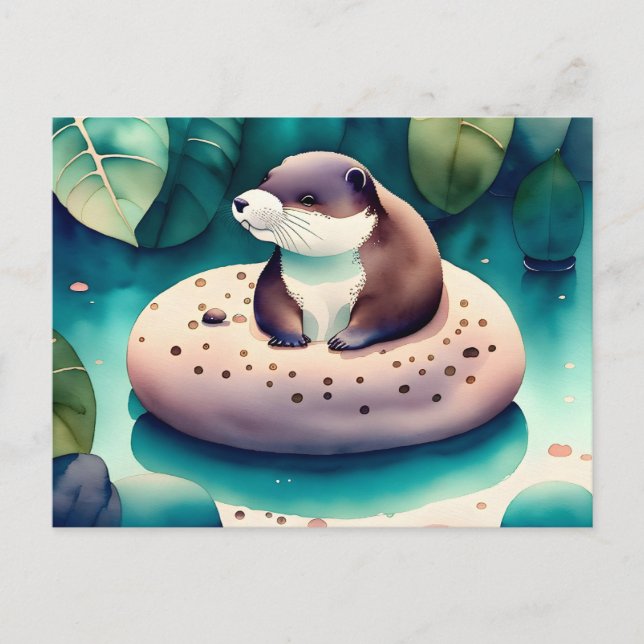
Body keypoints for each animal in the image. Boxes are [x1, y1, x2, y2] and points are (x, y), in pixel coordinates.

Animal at [231, 151, 443, 351]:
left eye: (307, 199)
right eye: (265, 177)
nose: (241, 202)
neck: (324, 278)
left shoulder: (400, 272)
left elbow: (386, 313)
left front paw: (346, 339)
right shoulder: (276, 276)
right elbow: (270, 304)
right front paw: (289, 337)